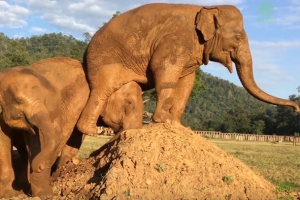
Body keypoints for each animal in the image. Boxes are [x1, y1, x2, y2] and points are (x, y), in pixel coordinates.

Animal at [0, 57, 144, 198]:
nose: (93, 153)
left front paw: (60, 173)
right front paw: (45, 191)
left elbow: (73, 140)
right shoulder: (76, 98)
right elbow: (61, 134)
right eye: (129, 103)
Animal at [77, 3, 300, 137]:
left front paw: (177, 125)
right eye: (237, 37)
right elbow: (163, 67)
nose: (297, 109)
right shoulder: (176, 40)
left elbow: (187, 81)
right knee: (103, 89)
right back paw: (90, 131)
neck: (207, 8)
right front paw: (162, 120)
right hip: (104, 60)